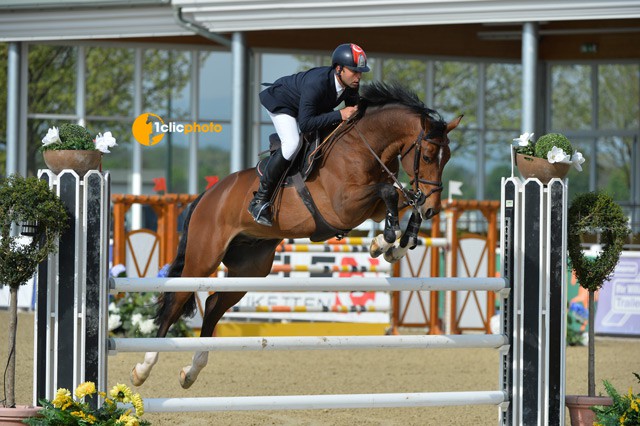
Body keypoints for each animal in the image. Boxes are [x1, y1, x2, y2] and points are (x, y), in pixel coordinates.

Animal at [130, 82, 462, 390]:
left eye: (446, 158)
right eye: (428, 155)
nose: (434, 208)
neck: (362, 146)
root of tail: (207, 195)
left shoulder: (374, 207)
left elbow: (403, 199)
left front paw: (396, 244)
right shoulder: (343, 207)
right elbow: (390, 192)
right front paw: (384, 240)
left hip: (250, 269)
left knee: (213, 305)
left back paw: (192, 370)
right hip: (203, 258)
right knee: (176, 300)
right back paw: (143, 368)